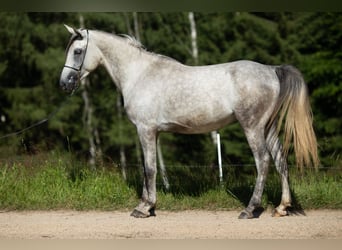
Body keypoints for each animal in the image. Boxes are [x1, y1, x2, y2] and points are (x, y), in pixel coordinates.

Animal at [59, 25, 320, 219]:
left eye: (78, 51)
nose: (64, 84)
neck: (139, 73)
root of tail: (271, 70)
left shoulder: (145, 129)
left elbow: (150, 168)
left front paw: (144, 208)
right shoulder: (152, 133)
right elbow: (147, 167)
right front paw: (147, 205)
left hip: (252, 127)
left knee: (263, 161)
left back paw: (249, 209)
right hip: (268, 128)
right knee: (280, 160)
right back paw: (282, 207)